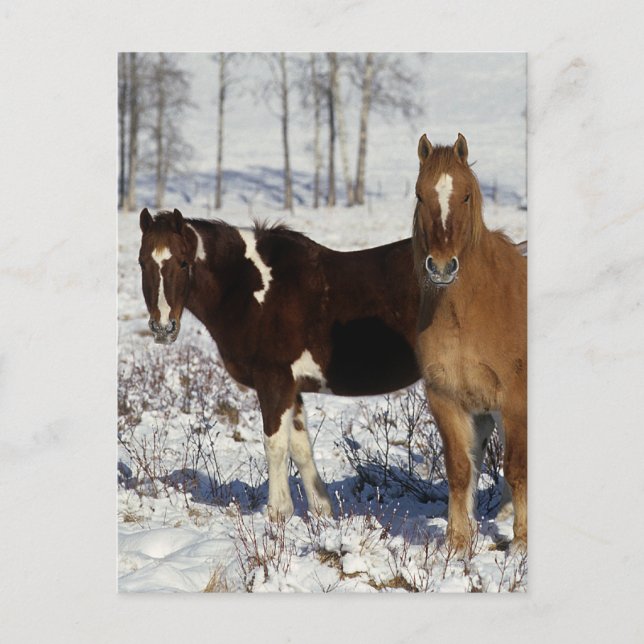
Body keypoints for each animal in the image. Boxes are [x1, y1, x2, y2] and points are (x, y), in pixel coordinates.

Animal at [137, 207, 513, 521]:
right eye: (142, 262)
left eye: (182, 262)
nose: (163, 328)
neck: (249, 288)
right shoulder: (291, 387)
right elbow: (300, 447)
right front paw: (321, 512)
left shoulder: (273, 381)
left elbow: (275, 445)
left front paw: (277, 513)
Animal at [412, 133, 527, 552]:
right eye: (420, 195)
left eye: (465, 196)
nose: (442, 267)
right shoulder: (449, 399)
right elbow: (461, 469)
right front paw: (458, 542)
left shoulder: (515, 400)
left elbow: (516, 468)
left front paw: (522, 543)